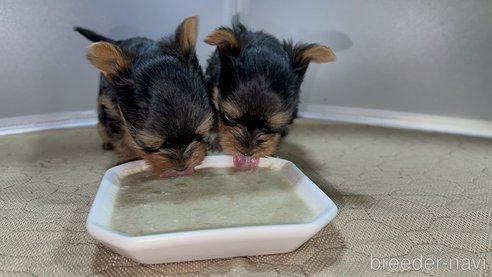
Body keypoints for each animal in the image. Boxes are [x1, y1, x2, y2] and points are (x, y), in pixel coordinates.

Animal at [75, 16, 213, 177]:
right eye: (151, 145)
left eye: (199, 135)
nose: (181, 167)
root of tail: (119, 41)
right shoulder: (112, 109)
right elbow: (121, 139)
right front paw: (128, 158)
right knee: (101, 124)